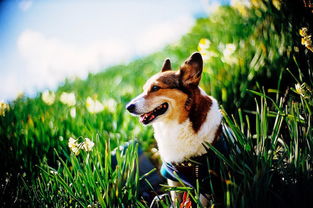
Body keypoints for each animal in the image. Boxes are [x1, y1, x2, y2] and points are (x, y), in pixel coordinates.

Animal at [125, 52, 225, 206]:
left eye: (155, 88)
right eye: (144, 89)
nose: (128, 107)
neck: (174, 125)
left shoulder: (204, 179)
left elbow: (202, 201)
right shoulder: (172, 176)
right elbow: (175, 199)